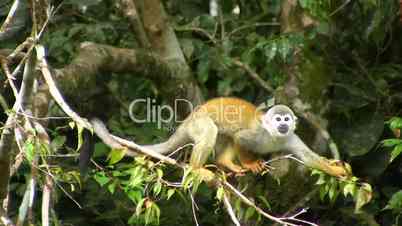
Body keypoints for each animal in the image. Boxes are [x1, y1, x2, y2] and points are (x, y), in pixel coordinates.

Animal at [91, 98, 348, 177]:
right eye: (277, 119)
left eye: (286, 119)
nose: (284, 124)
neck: (273, 136)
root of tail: (189, 118)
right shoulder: (257, 133)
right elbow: (241, 138)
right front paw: (251, 163)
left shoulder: (289, 138)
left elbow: (307, 157)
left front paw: (337, 170)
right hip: (198, 123)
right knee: (212, 132)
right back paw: (197, 168)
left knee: (224, 136)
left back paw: (225, 163)